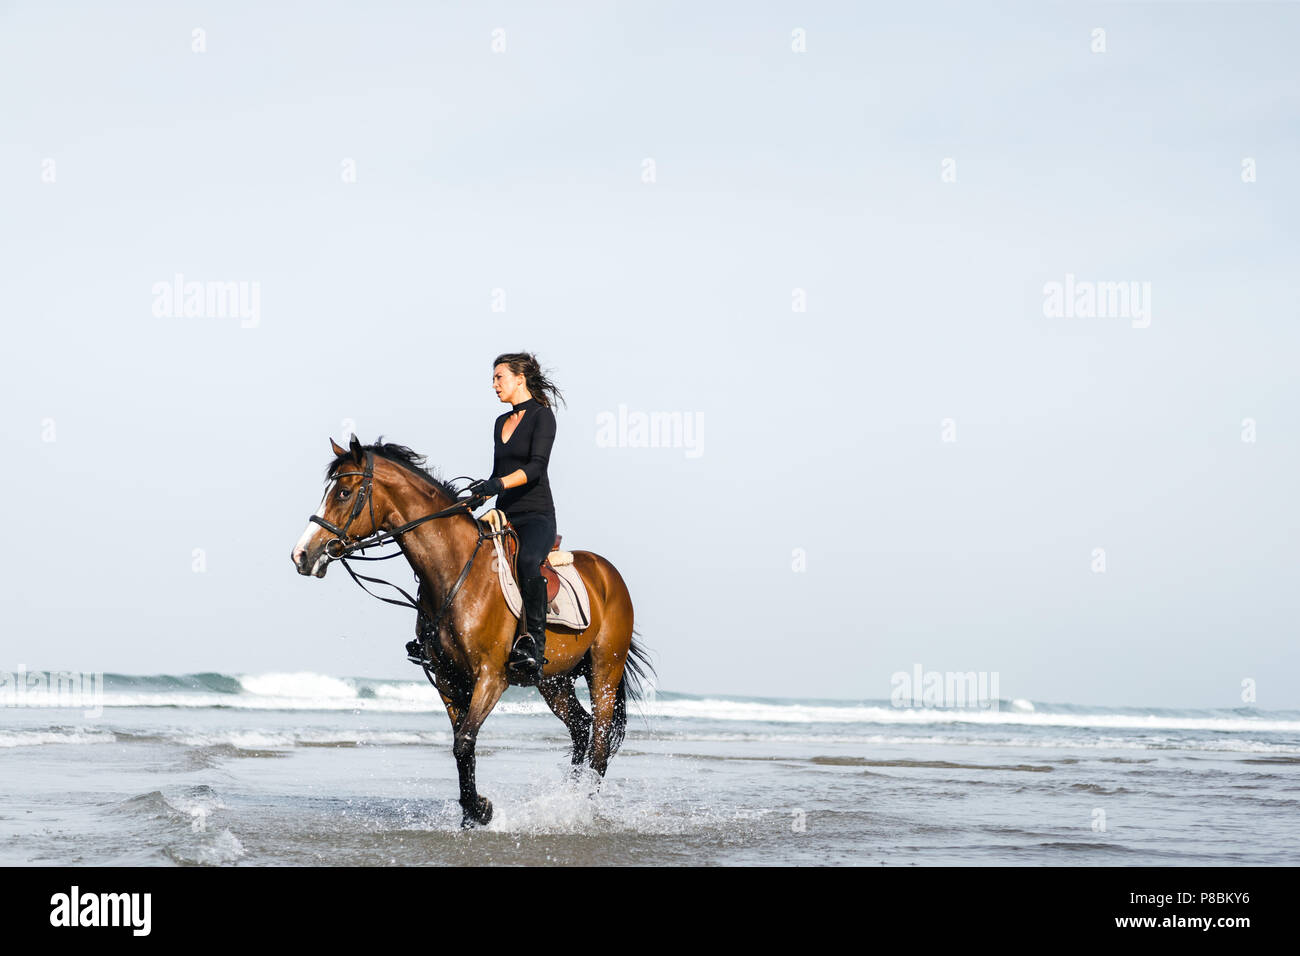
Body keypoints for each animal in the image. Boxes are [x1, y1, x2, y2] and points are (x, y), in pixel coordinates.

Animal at [290, 435, 653, 827]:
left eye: (343, 493)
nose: (302, 555)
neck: (455, 571)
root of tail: (608, 573)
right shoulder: (448, 678)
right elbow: (461, 745)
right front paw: (471, 814)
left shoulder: (491, 676)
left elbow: (464, 740)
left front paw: (481, 810)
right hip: (553, 680)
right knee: (580, 728)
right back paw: (564, 802)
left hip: (604, 671)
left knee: (599, 741)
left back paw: (580, 809)